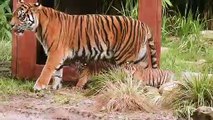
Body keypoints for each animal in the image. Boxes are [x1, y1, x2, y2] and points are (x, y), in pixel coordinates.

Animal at [10, 0, 157, 90]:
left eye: (21, 16)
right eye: (13, 15)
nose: (11, 25)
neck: (39, 26)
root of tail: (143, 25)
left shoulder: (55, 53)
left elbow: (47, 69)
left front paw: (39, 86)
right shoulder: (58, 55)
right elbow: (57, 73)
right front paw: (55, 87)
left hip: (126, 59)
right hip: (141, 59)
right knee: (146, 74)